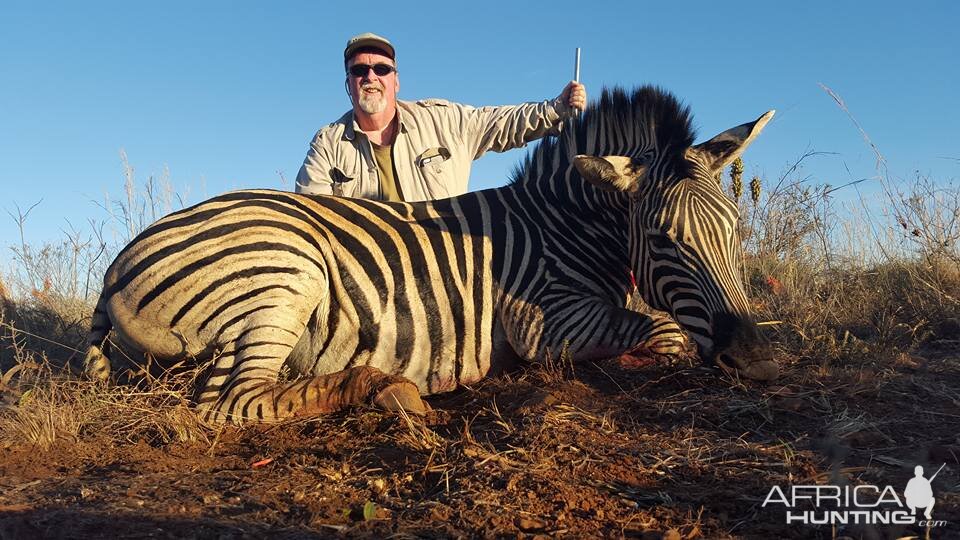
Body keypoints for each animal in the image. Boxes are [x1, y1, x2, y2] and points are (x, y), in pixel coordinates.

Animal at [84, 85, 780, 422]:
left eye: (735, 233)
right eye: (662, 238)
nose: (755, 359)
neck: (565, 223)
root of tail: (117, 263)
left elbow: (663, 325)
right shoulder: (546, 323)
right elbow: (667, 330)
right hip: (286, 274)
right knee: (227, 402)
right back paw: (385, 390)